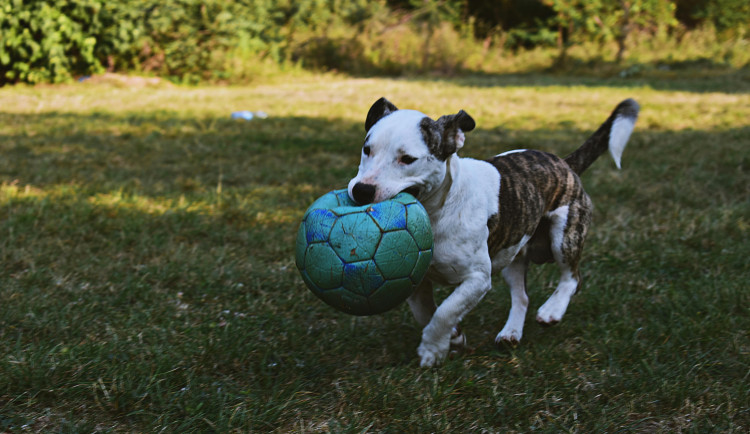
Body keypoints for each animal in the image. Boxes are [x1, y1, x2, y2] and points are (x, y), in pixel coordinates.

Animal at [348, 97, 640, 366]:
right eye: (366, 149)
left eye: (408, 159)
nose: (362, 190)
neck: (437, 211)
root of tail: (564, 164)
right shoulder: (412, 277)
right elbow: (425, 311)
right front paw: (454, 336)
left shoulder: (477, 278)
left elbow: (445, 311)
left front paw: (433, 349)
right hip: (513, 253)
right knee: (521, 296)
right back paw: (511, 332)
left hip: (566, 234)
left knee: (572, 277)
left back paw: (552, 310)